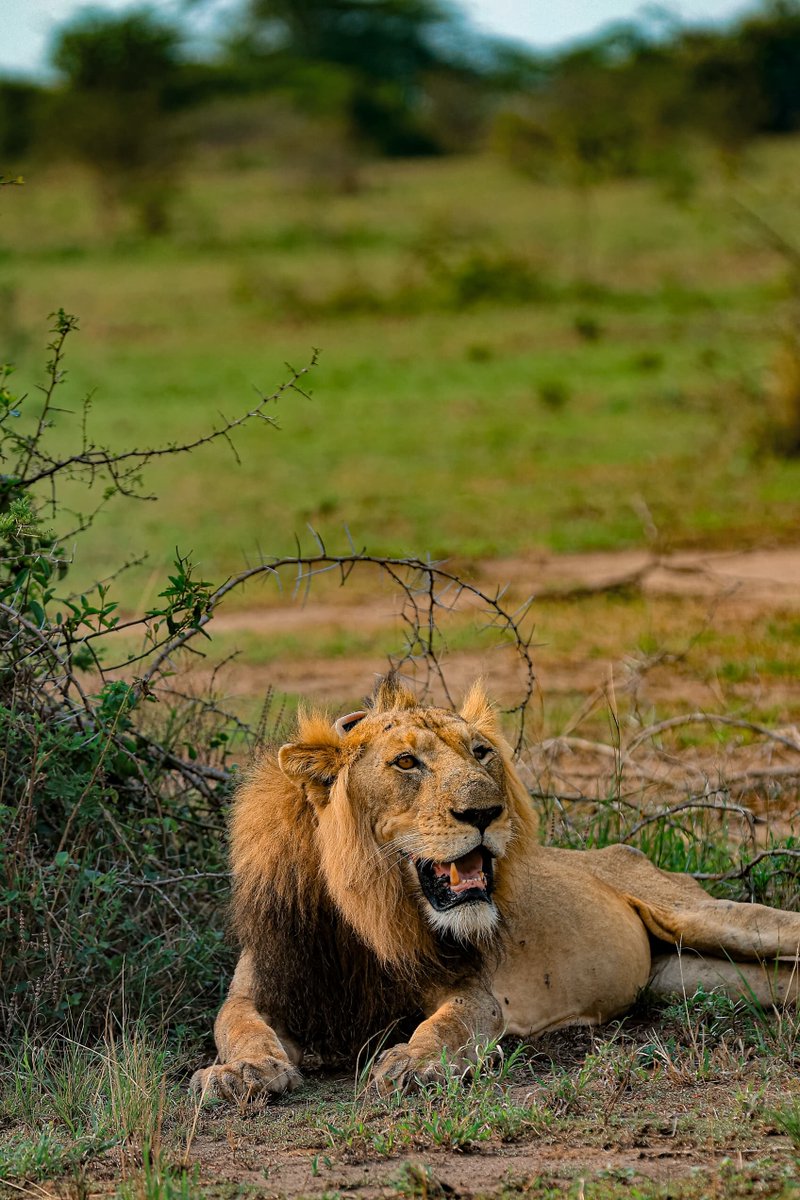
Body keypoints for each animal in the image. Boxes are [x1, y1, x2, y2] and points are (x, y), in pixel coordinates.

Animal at [191, 676, 800, 1100]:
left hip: (707, 918)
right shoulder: (260, 986)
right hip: (691, 976)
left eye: (480, 752)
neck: (359, 913)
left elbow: (449, 1026)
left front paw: (413, 1064)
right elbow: (237, 1024)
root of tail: (621, 851)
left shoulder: (471, 990)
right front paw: (243, 1071)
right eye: (406, 761)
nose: (486, 811)